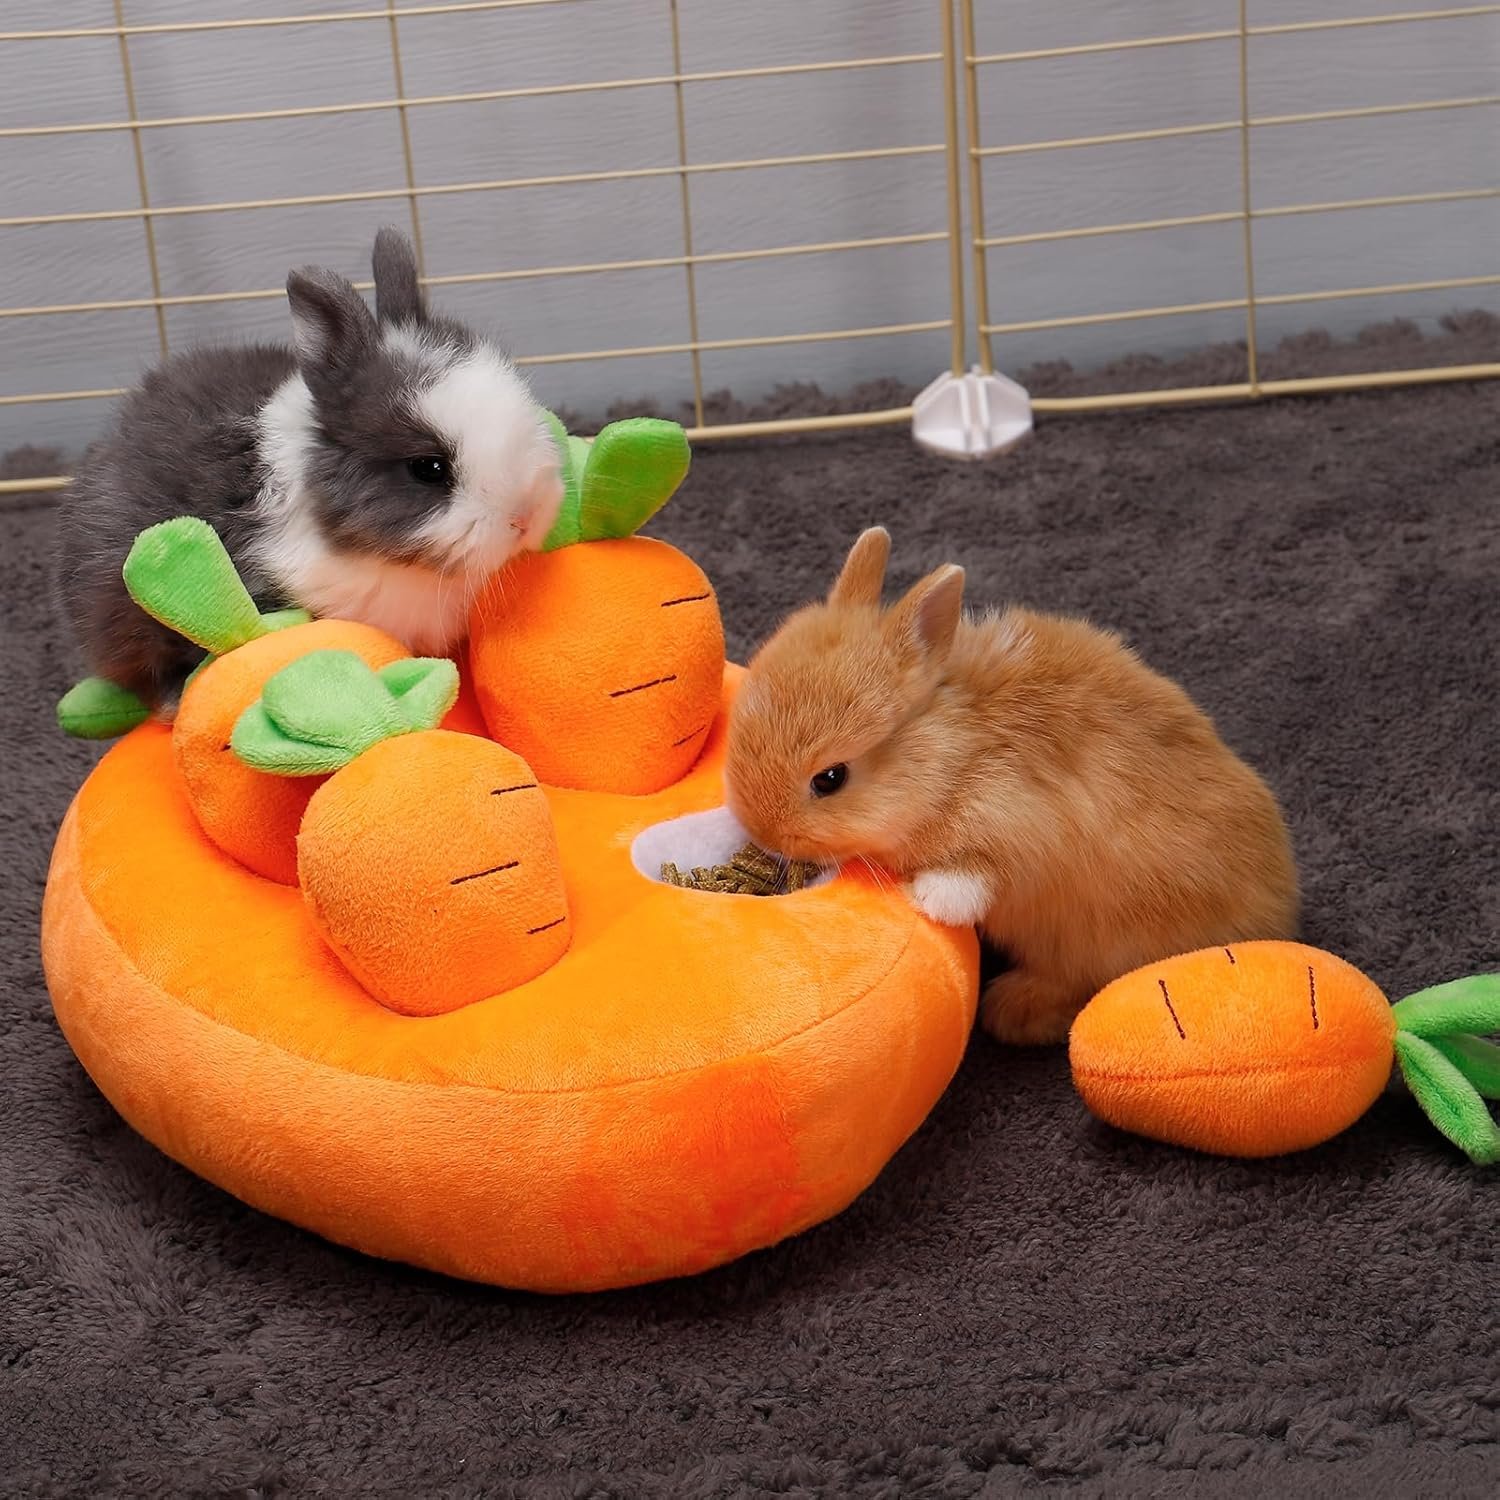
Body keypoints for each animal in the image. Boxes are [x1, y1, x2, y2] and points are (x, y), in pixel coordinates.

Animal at [724, 526, 1300, 1045]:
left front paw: (924, 897)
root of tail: (1277, 911)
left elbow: (972, 878)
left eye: (830, 779)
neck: (953, 751)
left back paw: (1013, 1009)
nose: (763, 833)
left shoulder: (1018, 828)